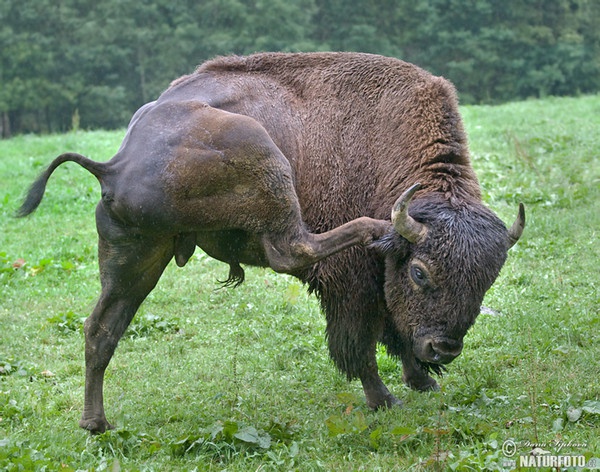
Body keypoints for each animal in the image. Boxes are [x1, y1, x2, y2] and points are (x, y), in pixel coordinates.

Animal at [18, 51, 524, 432]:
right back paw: (372, 229)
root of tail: (117, 162)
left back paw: (95, 423)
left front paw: (423, 383)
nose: (444, 349)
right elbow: (360, 344)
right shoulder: (352, 285)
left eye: (487, 280)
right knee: (292, 248)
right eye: (420, 272)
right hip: (262, 155)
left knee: (100, 328)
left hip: (136, 253)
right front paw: (385, 399)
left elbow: (395, 332)